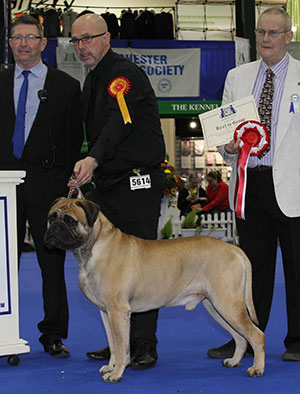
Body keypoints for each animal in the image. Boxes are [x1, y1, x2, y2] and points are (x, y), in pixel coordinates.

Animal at [44, 197, 264, 382]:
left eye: (70, 220)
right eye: (51, 216)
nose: (54, 227)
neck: (94, 246)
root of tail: (235, 249)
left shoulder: (118, 312)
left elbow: (121, 346)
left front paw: (116, 373)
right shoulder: (105, 312)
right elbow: (113, 344)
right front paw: (111, 366)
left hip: (228, 304)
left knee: (256, 335)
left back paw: (256, 368)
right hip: (216, 307)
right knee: (241, 337)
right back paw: (234, 361)